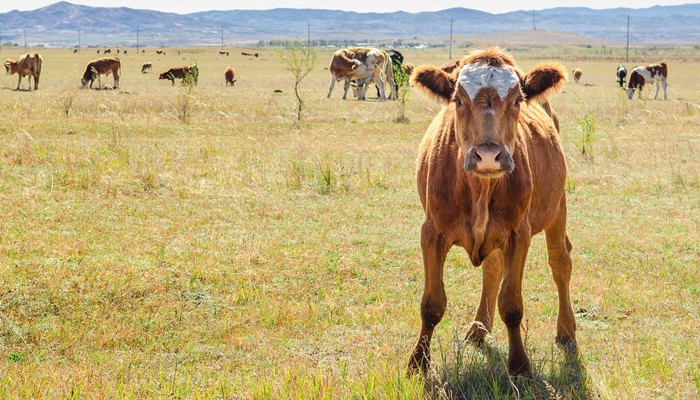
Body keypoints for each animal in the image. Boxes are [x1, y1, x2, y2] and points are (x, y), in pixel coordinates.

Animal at [408, 47, 576, 378]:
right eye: (458, 100)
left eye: (517, 100)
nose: (488, 155)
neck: (480, 189)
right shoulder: (431, 232)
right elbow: (432, 303)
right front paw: (418, 361)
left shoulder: (518, 233)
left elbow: (511, 304)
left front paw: (520, 365)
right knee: (493, 269)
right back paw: (478, 329)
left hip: (557, 206)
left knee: (560, 262)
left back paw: (566, 331)